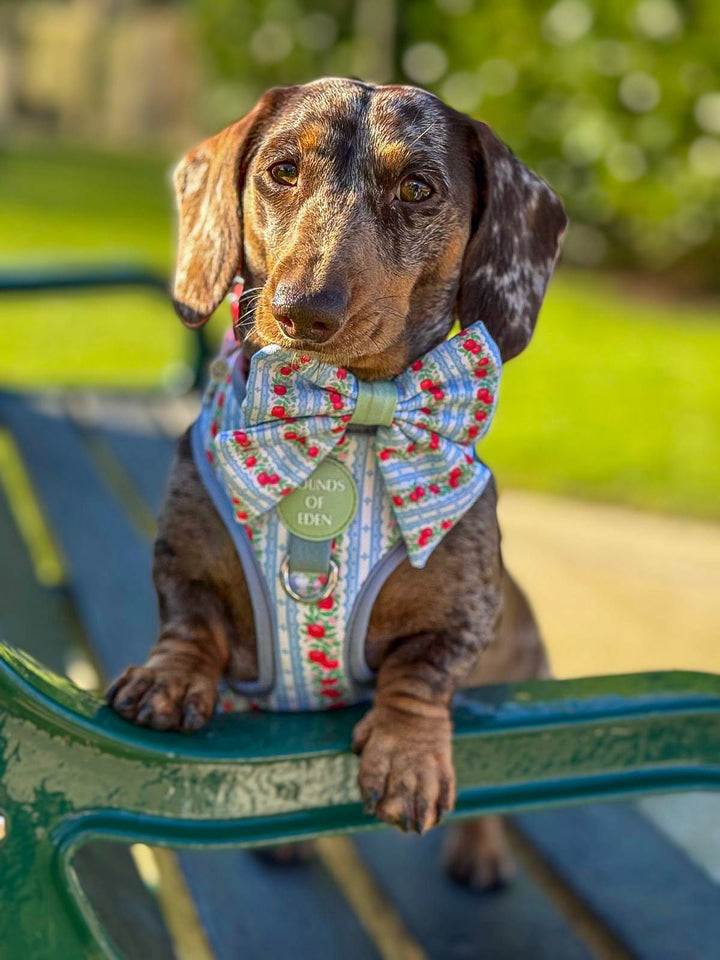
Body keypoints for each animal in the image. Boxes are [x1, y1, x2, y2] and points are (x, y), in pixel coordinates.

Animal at [107, 77, 568, 892]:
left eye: (417, 188)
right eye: (283, 171)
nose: (302, 311)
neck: (343, 418)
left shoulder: (465, 614)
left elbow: (421, 673)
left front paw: (408, 758)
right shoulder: (185, 562)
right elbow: (190, 622)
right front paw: (170, 679)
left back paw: (481, 853)